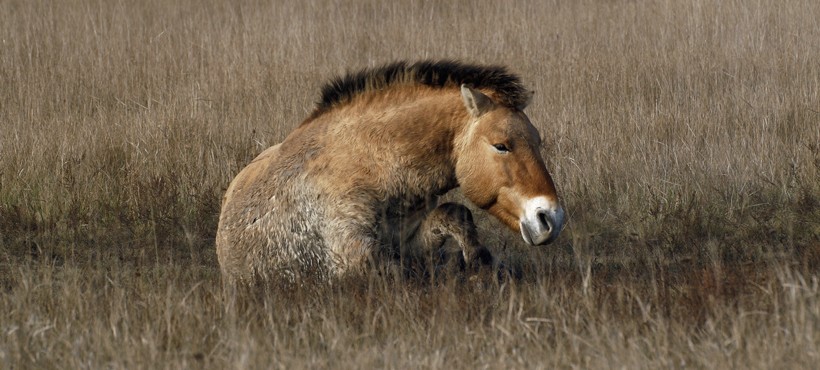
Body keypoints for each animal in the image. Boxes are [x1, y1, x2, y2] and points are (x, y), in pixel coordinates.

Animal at [218, 60, 564, 286]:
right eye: (501, 145)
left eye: (537, 141)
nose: (551, 218)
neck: (372, 161)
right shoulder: (352, 257)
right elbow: (398, 273)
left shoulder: (410, 240)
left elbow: (455, 213)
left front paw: (481, 264)